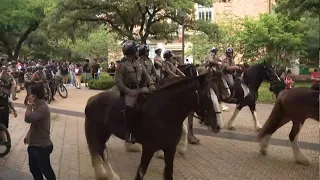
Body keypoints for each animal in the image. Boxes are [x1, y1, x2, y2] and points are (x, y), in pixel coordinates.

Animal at [84, 73, 222, 180]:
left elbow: (168, 174)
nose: (218, 126)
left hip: (105, 133)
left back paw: (110, 175)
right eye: (207, 96)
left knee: (101, 152)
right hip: (97, 134)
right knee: (101, 153)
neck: (164, 112)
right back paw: (106, 174)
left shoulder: (170, 148)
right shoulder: (149, 148)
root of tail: (92, 99)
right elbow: (140, 173)